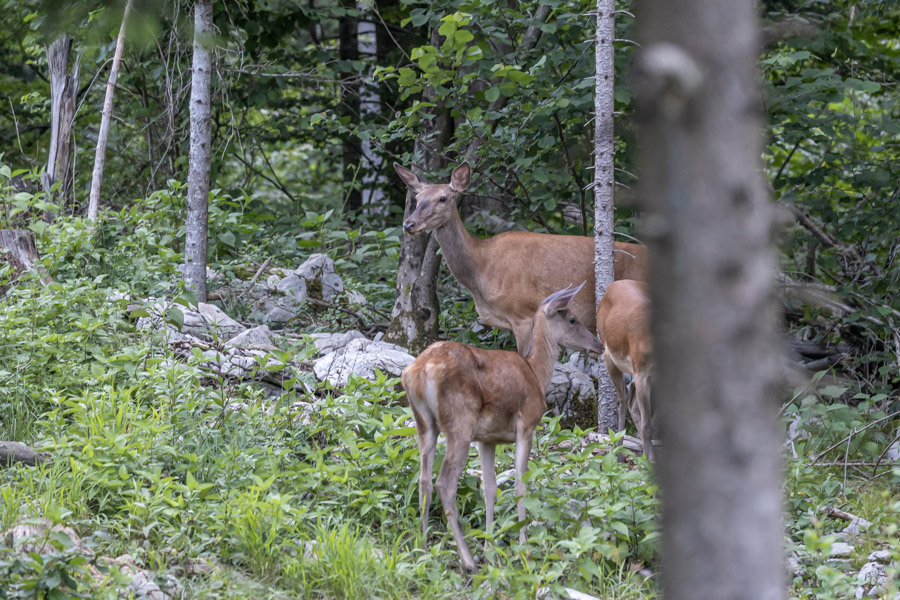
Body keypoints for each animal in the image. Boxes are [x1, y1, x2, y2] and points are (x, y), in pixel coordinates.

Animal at [402, 282, 604, 572]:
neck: (536, 373)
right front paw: (523, 547)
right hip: (460, 423)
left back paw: (424, 547)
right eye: (573, 319)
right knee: (444, 483)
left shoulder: (487, 439)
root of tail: (419, 370)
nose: (598, 345)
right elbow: (520, 485)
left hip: (424, 424)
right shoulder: (527, 424)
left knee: (423, 480)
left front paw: (491, 549)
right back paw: (467, 560)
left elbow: (490, 489)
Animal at [596, 280, 652, 460]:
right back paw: (619, 454)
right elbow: (647, 426)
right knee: (622, 400)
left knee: (631, 403)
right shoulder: (641, 371)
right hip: (609, 358)